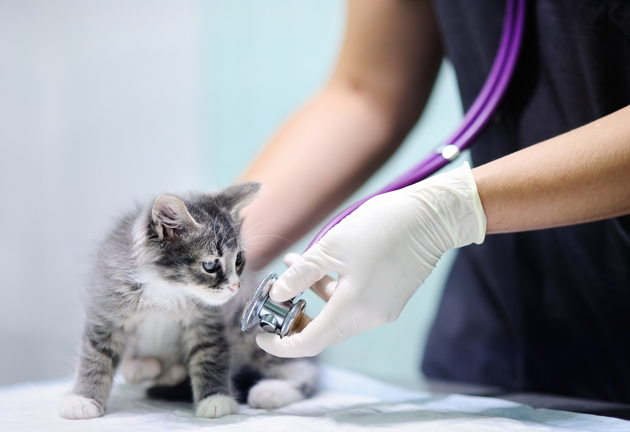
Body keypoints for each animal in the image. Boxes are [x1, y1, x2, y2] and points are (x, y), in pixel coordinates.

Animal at [58, 182, 320, 418]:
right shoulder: (106, 310)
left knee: (305, 372)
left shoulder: (210, 322)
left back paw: (270, 391)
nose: (235, 287)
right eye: (211, 265)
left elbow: (211, 356)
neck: (167, 289)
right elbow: (95, 356)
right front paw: (83, 399)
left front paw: (216, 400)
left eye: (239, 259)